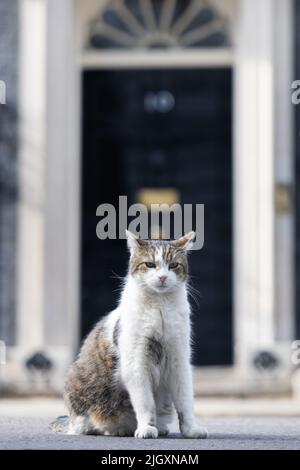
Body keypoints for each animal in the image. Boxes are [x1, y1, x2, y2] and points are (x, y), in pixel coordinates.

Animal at [50, 229, 207, 438]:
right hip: (76, 380)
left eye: (173, 265)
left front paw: (191, 429)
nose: (163, 277)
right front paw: (147, 428)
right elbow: (145, 402)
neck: (160, 307)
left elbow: (185, 401)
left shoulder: (179, 359)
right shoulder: (136, 362)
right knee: (84, 424)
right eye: (150, 264)